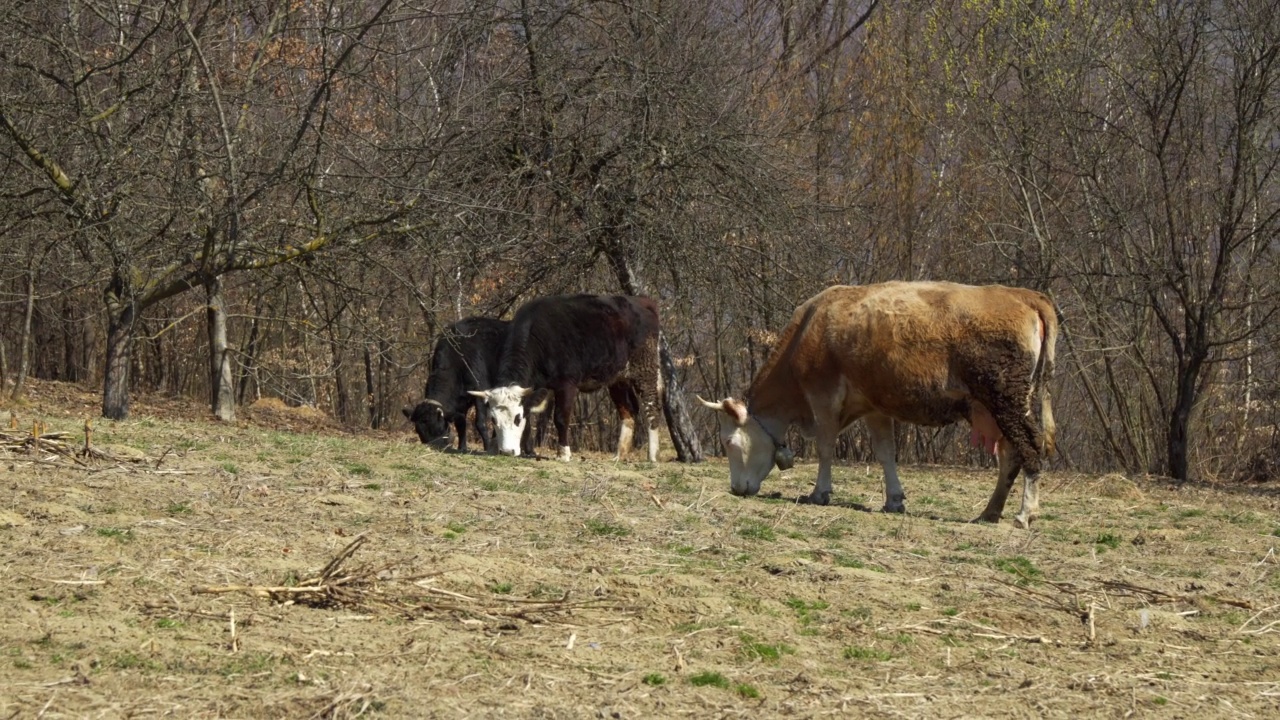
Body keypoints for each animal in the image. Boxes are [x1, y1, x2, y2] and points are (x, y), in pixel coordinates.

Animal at [399, 315, 504, 448]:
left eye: (438, 428)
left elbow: (480, 423)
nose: (436, 447)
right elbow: (461, 425)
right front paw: (462, 448)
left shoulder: (481, 391)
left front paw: (487, 447)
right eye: (419, 431)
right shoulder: (460, 404)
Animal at [468, 294, 665, 461]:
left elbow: (561, 418)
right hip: (617, 378)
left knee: (652, 408)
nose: (507, 451)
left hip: (645, 369)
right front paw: (494, 447)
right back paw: (619, 455)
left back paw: (652, 455)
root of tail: (643, 302)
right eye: (493, 419)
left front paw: (563, 453)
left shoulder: (567, 384)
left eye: (517, 418)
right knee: (628, 411)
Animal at [701, 280, 1059, 527]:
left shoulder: (823, 398)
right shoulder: (874, 407)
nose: (736, 488)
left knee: (1030, 448)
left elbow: (826, 447)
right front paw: (894, 500)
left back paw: (1025, 513)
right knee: (1010, 456)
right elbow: (886, 452)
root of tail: (1024, 295)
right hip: (996, 409)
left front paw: (820, 493)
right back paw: (989, 511)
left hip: (1007, 401)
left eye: (729, 442)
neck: (809, 329)